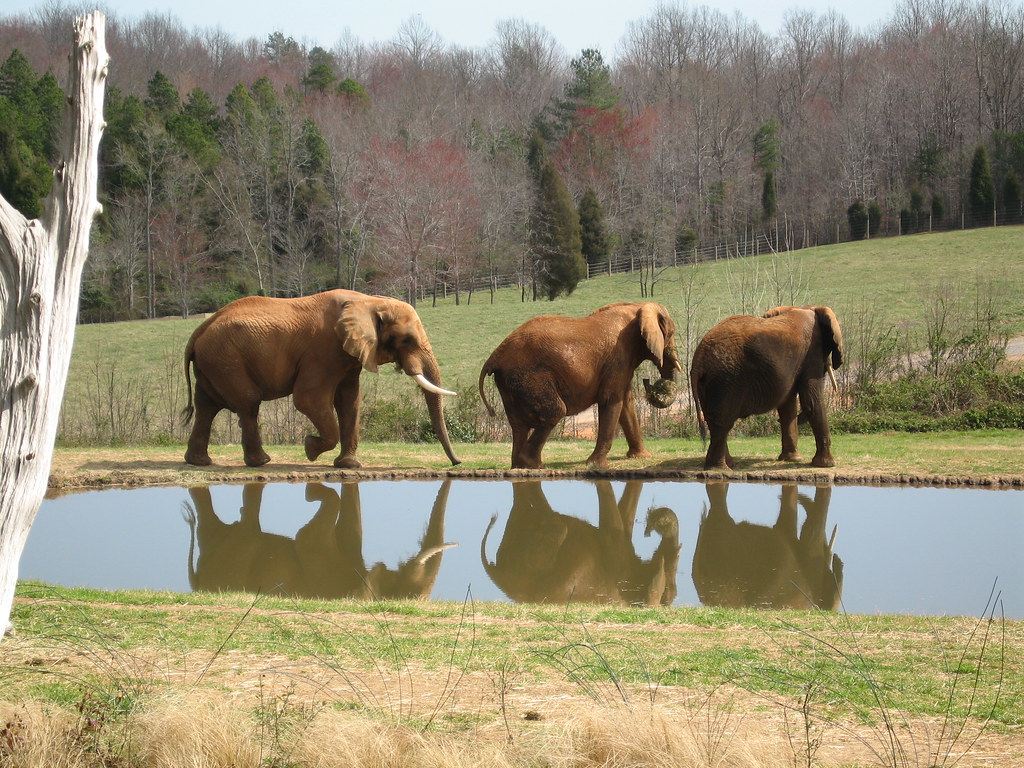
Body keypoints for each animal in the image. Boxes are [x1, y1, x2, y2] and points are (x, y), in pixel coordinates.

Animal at [182, 289, 461, 468]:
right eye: (406, 340)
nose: (457, 463)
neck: (369, 301)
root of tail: (198, 331)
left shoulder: (348, 353)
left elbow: (350, 402)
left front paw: (348, 466)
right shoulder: (323, 349)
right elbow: (309, 399)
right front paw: (309, 448)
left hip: (214, 362)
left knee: (206, 406)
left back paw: (199, 462)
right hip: (226, 359)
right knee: (248, 402)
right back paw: (260, 462)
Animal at [184, 481, 456, 599]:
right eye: (406, 591)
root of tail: (196, 584)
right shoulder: (322, 570)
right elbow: (307, 536)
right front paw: (310, 491)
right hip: (232, 560)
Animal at [478, 302, 682, 468]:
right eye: (671, 334)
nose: (650, 382)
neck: (637, 306)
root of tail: (494, 356)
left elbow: (625, 404)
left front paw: (641, 457)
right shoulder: (618, 357)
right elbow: (611, 400)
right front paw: (597, 465)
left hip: (508, 382)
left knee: (518, 425)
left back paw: (521, 466)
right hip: (530, 376)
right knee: (555, 411)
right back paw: (531, 464)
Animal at [690, 305, 843, 470]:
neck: (809, 308)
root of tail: (698, 357)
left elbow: (787, 406)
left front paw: (792, 459)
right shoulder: (812, 353)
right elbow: (811, 401)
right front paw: (827, 465)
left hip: (709, 382)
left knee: (714, 422)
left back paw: (728, 464)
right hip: (725, 379)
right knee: (722, 424)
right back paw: (721, 469)